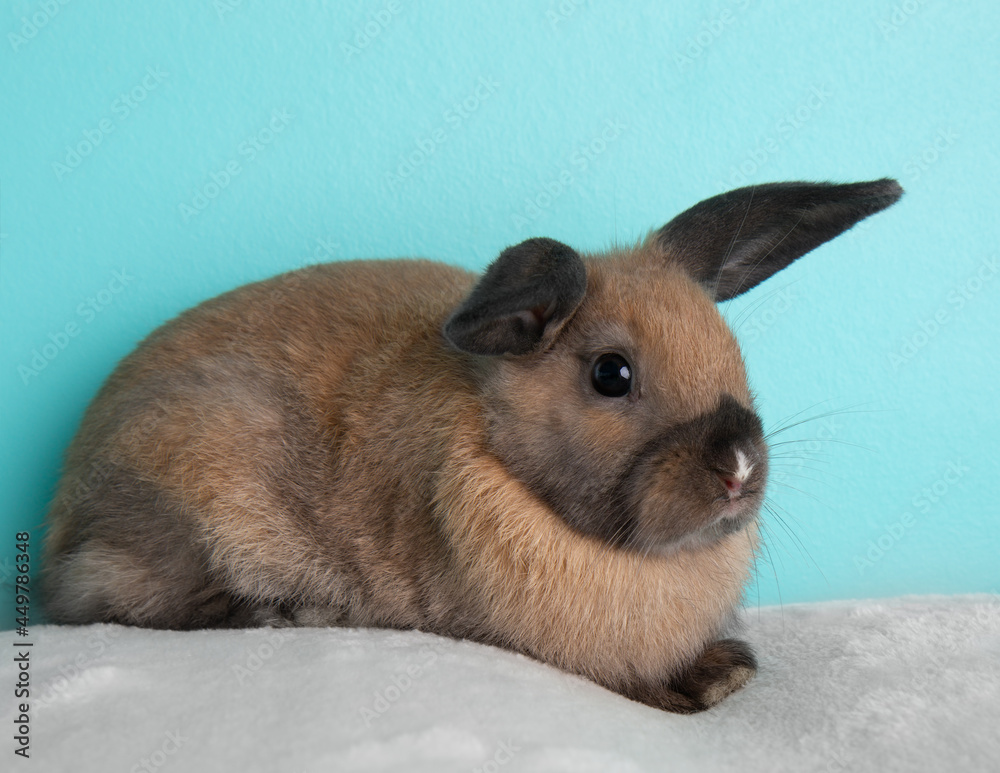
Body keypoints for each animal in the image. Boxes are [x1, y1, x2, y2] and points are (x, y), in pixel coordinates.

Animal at [42, 178, 902, 713]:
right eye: (611, 373)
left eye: (733, 352)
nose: (738, 469)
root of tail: (60, 516)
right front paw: (708, 682)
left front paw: (725, 668)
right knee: (110, 602)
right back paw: (287, 610)